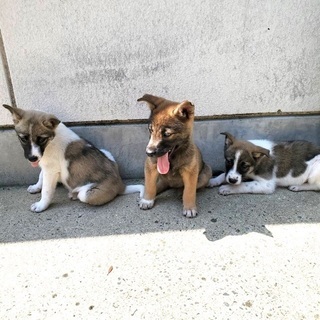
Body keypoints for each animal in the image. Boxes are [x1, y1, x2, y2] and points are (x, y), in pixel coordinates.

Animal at [3, 104, 144, 211]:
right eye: (23, 138)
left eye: (41, 139)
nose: (32, 158)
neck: (51, 139)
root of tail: (121, 184)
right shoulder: (46, 165)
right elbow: (40, 176)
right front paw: (36, 187)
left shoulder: (51, 170)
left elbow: (47, 190)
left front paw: (41, 205)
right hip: (106, 152)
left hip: (88, 194)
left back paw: (74, 194)